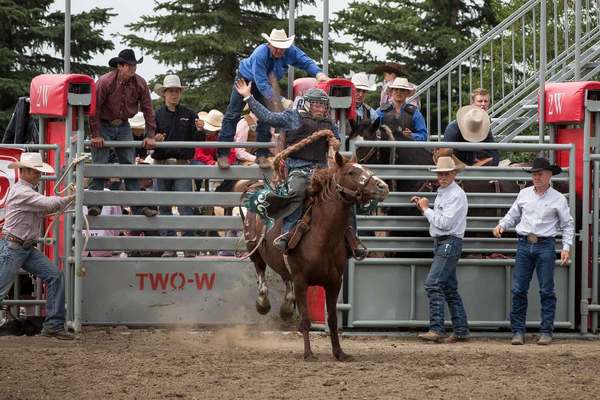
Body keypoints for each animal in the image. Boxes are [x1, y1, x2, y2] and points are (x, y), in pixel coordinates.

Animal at [239, 152, 390, 360]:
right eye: (351, 172)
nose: (383, 186)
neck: (323, 236)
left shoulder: (334, 282)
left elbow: (332, 319)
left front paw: (339, 352)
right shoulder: (301, 281)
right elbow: (305, 319)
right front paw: (308, 353)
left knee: (285, 279)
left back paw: (286, 309)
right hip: (253, 248)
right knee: (261, 275)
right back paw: (263, 304)